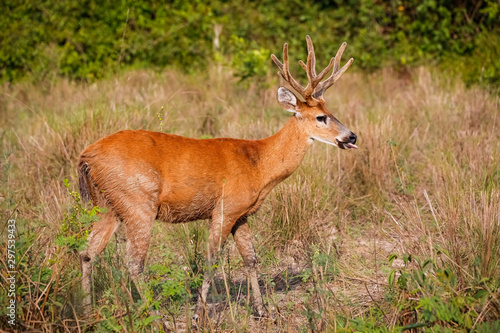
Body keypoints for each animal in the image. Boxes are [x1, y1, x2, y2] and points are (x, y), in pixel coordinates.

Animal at [78, 35, 358, 322]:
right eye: (321, 117)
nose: (351, 136)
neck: (259, 165)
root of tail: (87, 156)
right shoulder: (226, 207)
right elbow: (211, 258)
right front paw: (197, 315)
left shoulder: (242, 214)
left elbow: (250, 258)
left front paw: (262, 311)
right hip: (138, 201)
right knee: (133, 263)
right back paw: (155, 316)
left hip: (109, 205)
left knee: (88, 253)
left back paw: (86, 311)